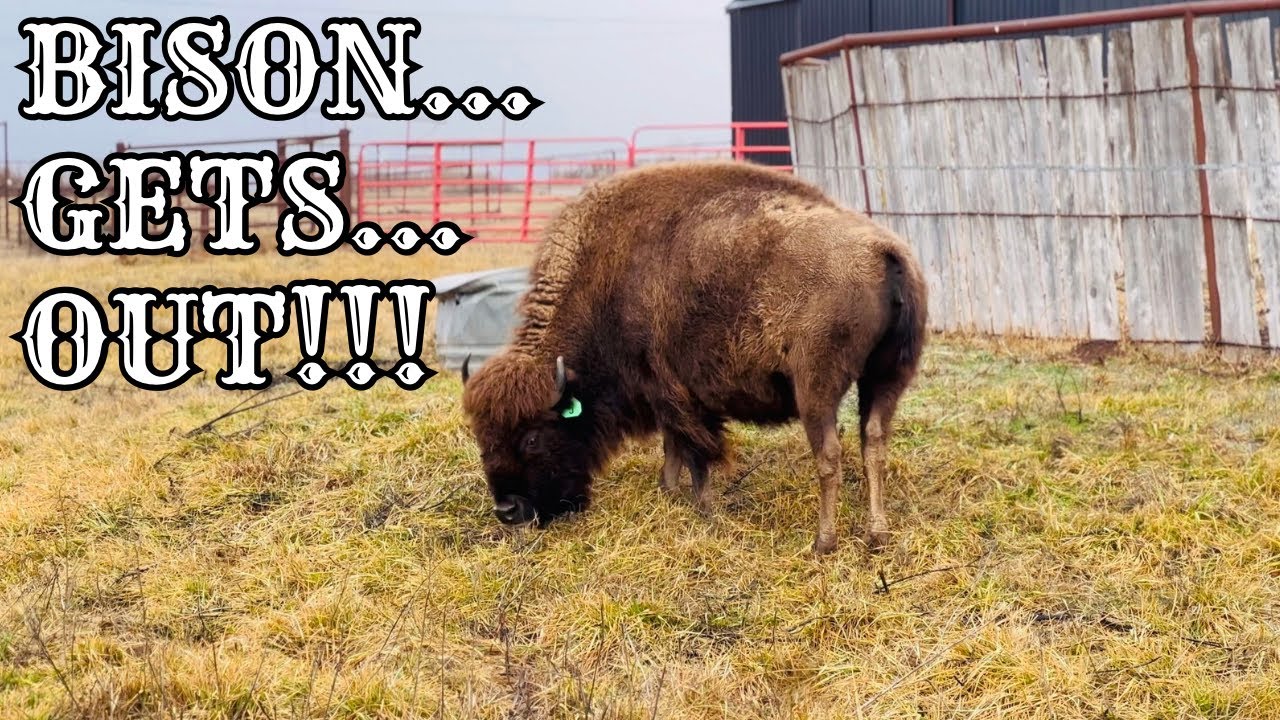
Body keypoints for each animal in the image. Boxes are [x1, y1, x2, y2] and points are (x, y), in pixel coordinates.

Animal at [460, 160, 927, 554]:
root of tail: (882, 251)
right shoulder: (667, 396)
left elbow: (694, 452)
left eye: (533, 436)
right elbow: (674, 447)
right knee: (874, 443)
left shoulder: (674, 392)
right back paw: (877, 535)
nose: (508, 511)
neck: (610, 277)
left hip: (816, 389)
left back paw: (823, 542)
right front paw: (668, 492)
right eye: (481, 437)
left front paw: (702, 507)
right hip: (887, 378)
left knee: (829, 454)